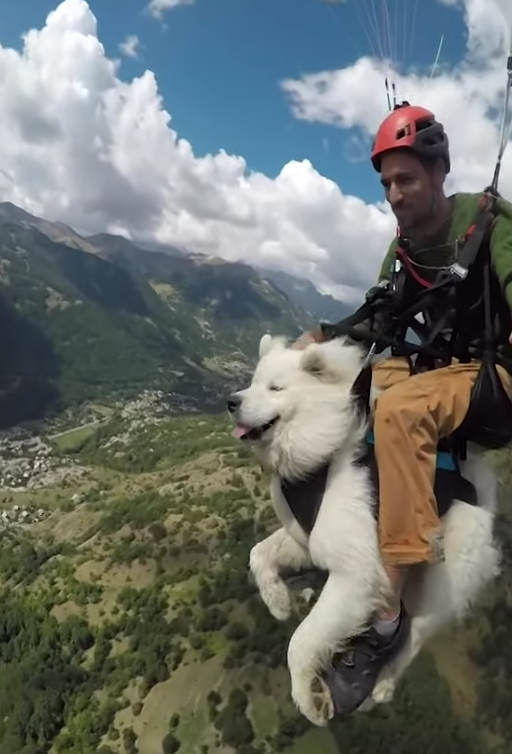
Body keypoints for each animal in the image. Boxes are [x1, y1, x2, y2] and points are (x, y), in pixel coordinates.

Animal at [228, 332, 500, 724]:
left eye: (275, 388)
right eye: (252, 382)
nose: (231, 402)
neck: (324, 450)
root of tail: (486, 488)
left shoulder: (355, 573)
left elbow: (303, 640)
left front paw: (309, 698)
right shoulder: (308, 540)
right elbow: (259, 553)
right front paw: (277, 601)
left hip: (440, 578)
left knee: (415, 632)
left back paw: (381, 686)